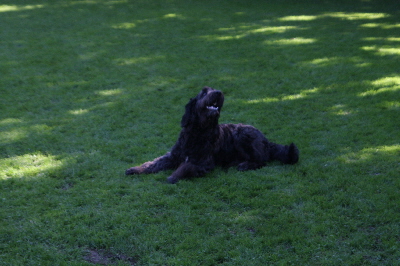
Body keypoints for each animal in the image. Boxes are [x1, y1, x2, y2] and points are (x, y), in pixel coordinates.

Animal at [126, 87, 298, 183]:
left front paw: (173, 176)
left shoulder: (203, 162)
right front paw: (136, 169)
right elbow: (153, 163)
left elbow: (186, 166)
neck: (197, 132)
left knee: (263, 160)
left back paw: (245, 165)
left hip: (243, 136)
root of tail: (266, 141)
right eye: (204, 92)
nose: (218, 93)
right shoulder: (173, 156)